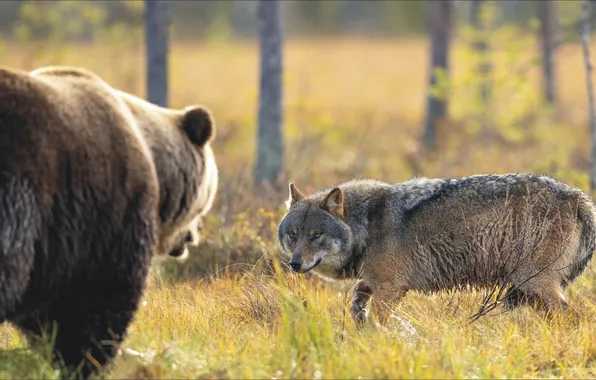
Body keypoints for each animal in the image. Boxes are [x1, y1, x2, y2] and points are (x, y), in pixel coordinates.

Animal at [0, 65, 217, 378]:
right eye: (208, 194)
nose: (196, 233)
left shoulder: (55, 250)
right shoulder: (109, 214)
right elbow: (98, 303)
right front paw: (88, 361)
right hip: (19, 196)